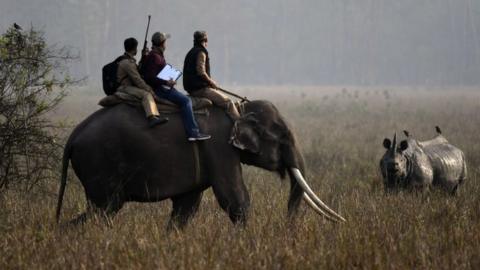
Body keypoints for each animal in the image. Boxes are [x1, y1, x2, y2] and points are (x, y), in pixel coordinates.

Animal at [56, 99, 344, 228]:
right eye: (282, 136)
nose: (287, 226)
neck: (238, 108)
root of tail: (72, 138)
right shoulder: (219, 147)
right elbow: (235, 199)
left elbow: (187, 206)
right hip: (99, 165)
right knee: (105, 209)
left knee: (100, 210)